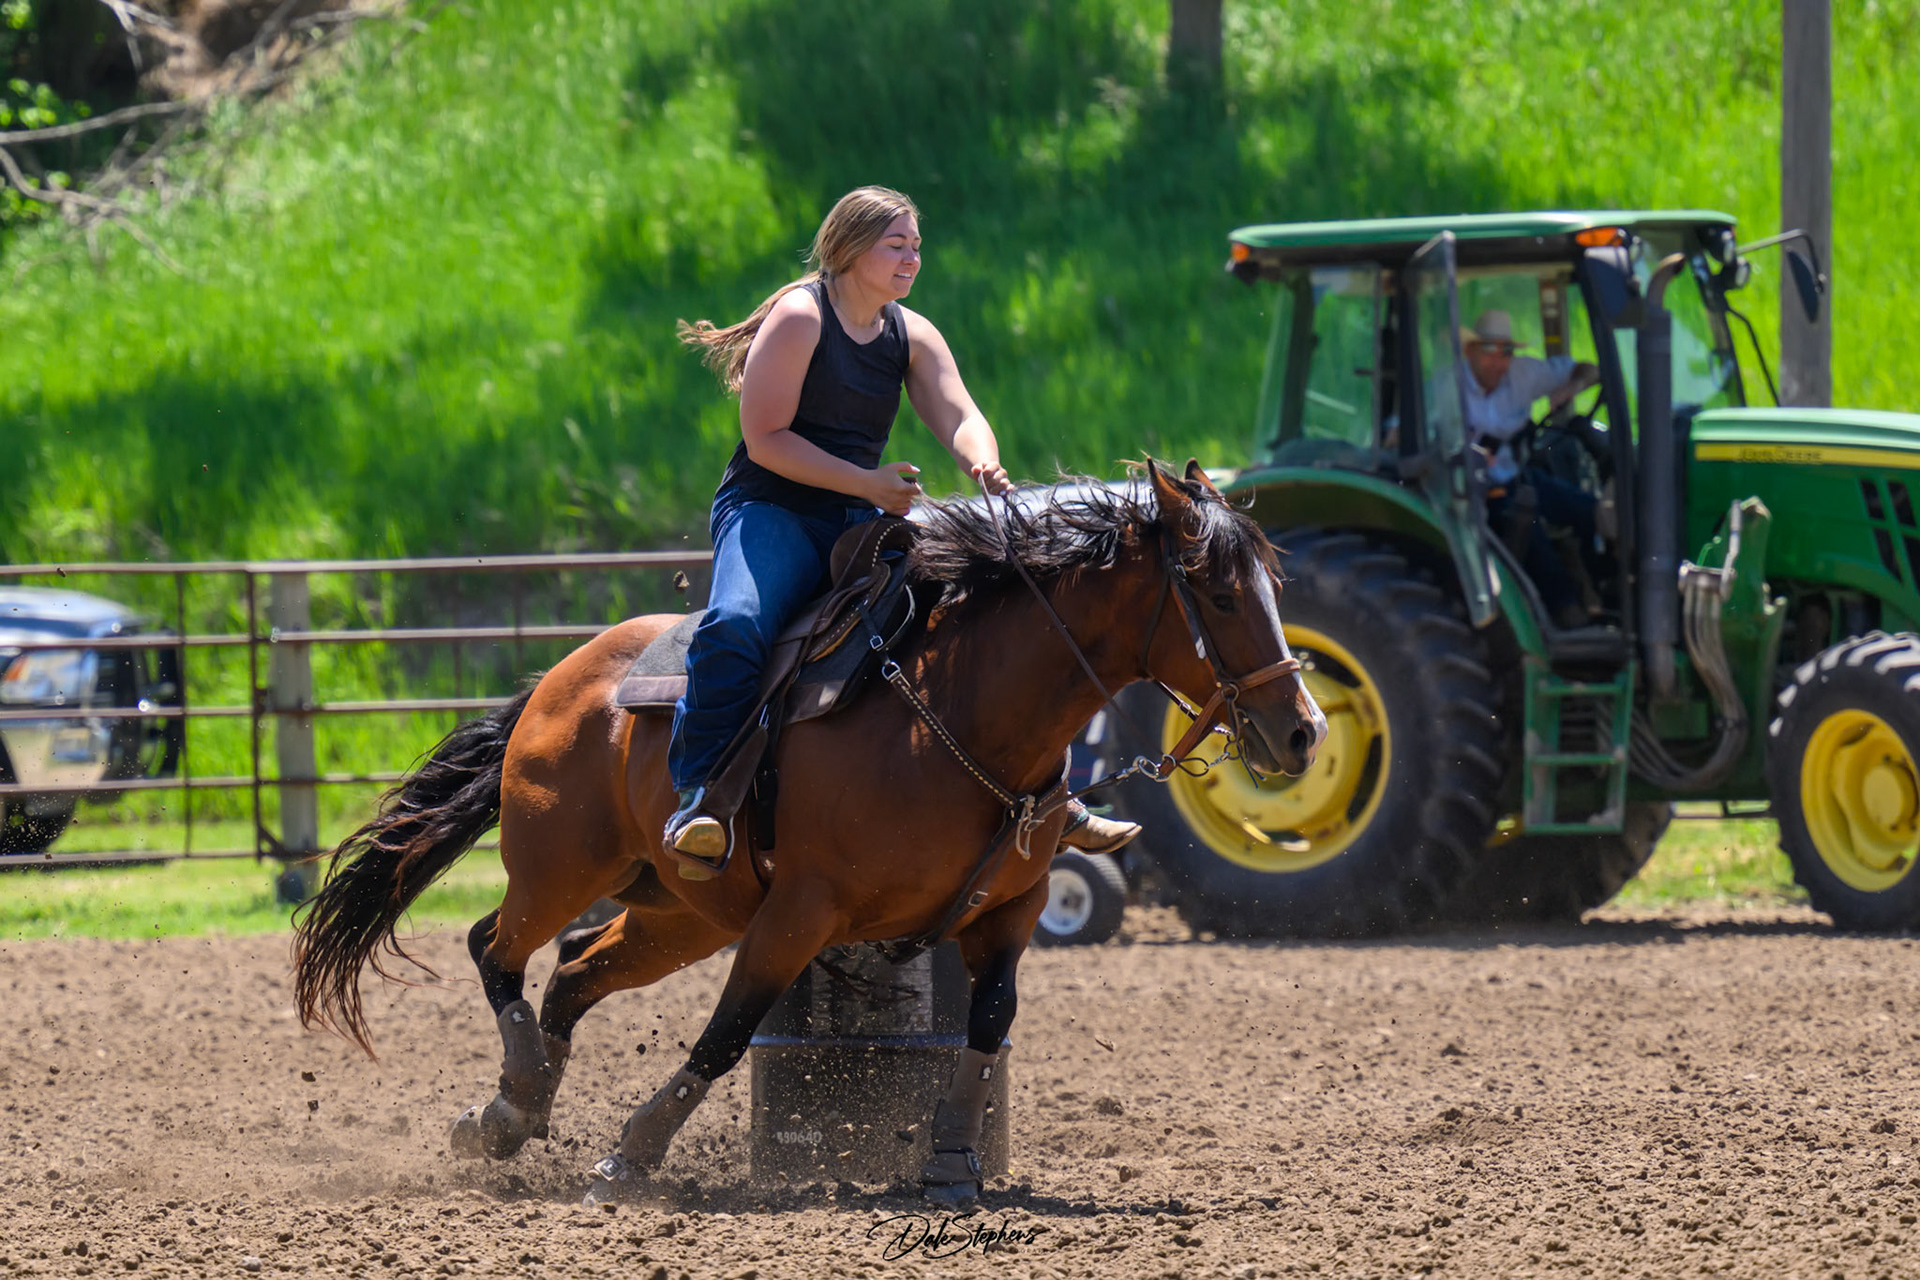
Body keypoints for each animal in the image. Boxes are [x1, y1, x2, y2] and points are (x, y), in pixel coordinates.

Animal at [291, 459, 1325, 1205]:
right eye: (1220, 597)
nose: (1304, 731)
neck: (954, 714)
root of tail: (556, 679)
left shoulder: (1013, 909)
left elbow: (989, 1023)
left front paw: (952, 1161)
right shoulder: (799, 912)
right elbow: (729, 1031)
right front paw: (633, 1156)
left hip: (679, 913)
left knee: (574, 972)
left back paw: (517, 1111)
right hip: (560, 870)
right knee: (493, 947)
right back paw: (511, 1103)